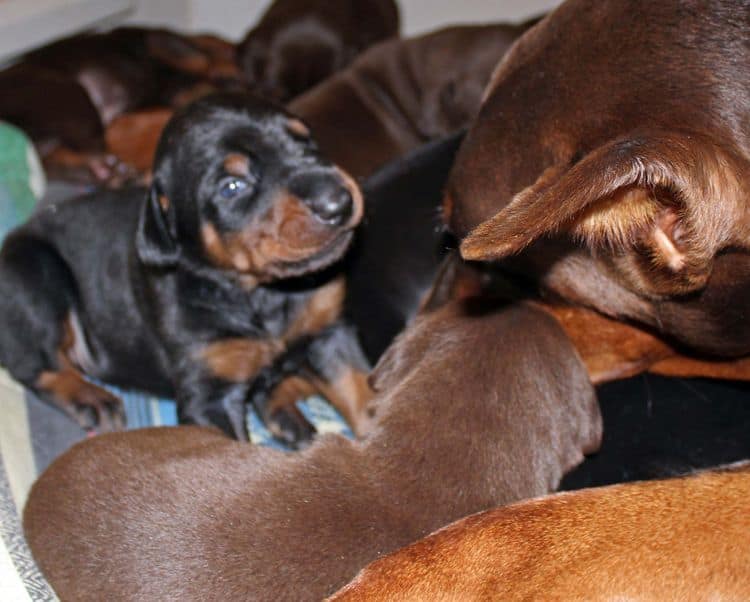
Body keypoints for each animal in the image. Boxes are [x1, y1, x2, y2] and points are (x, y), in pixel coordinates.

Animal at [0, 91, 364, 438]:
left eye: (306, 142)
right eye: (232, 187)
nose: (339, 202)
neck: (261, 293)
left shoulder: (327, 337)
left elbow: (360, 393)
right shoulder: (208, 396)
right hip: (33, 277)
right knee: (36, 364)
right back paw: (90, 397)